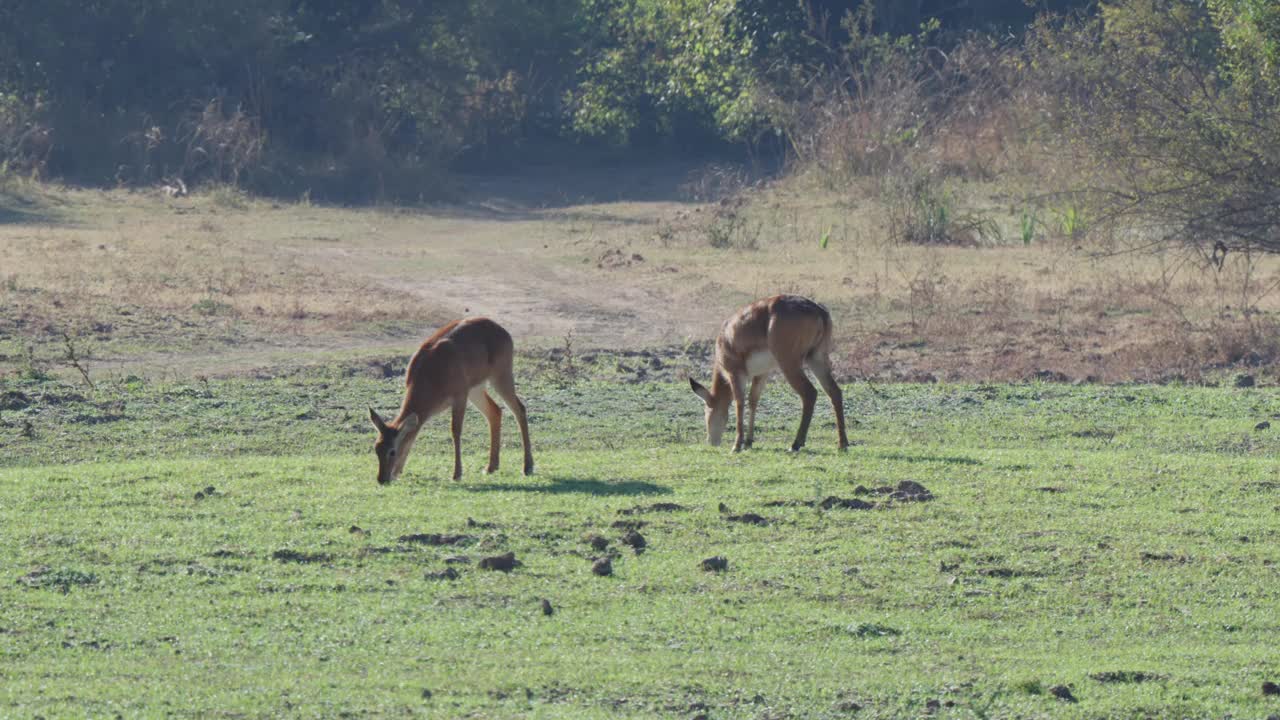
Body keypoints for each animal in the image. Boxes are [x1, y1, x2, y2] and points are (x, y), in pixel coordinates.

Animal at [368, 315, 532, 479]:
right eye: (377, 448)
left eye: (392, 451)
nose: (382, 479)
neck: (430, 374)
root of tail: (501, 329)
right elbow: (414, 434)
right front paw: (398, 472)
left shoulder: (460, 395)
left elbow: (455, 430)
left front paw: (457, 474)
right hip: (476, 389)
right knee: (495, 411)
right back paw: (491, 467)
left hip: (500, 376)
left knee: (519, 409)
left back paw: (528, 467)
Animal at [691, 294, 849, 450]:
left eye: (707, 411)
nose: (711, 441)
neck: (725, 338)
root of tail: (819, 311)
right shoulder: (762, 374)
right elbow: (753, 400)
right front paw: (748, 441)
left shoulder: (735, 374)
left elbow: (739, 402)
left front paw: (737, 445)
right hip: (816, 359)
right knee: (834, 391)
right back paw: (842, 443)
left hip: (790, 364)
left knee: (810, 393)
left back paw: (795, 444)